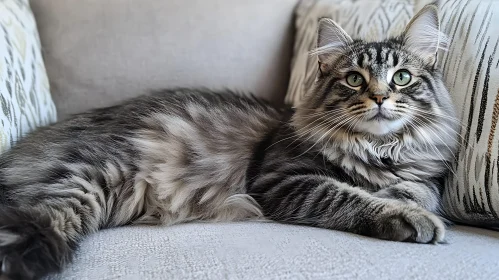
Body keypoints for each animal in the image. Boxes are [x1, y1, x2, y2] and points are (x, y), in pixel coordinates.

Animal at [0, 4, 458, 280]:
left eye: (402, 77)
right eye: (354, 79)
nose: (379, 97)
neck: (378, 150)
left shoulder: (423, 173)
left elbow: (423, 189)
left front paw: (404, 195)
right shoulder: (281, 180)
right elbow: (348, 196)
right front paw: (406, 215)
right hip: (95, 177)